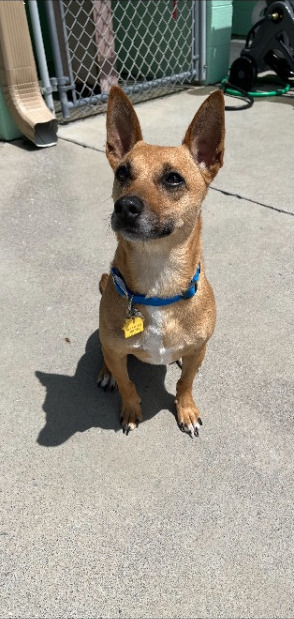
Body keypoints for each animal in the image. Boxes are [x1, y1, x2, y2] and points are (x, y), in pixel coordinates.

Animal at [99, 86, 225, 436]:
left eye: (173, 179)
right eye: (122, 173)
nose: (124, 206)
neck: (158, 281)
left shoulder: (198, 352)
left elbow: (186, 383)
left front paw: (186, 409)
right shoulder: (116, 351)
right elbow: (127, 384)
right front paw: (130, 409)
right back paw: (105, 372)